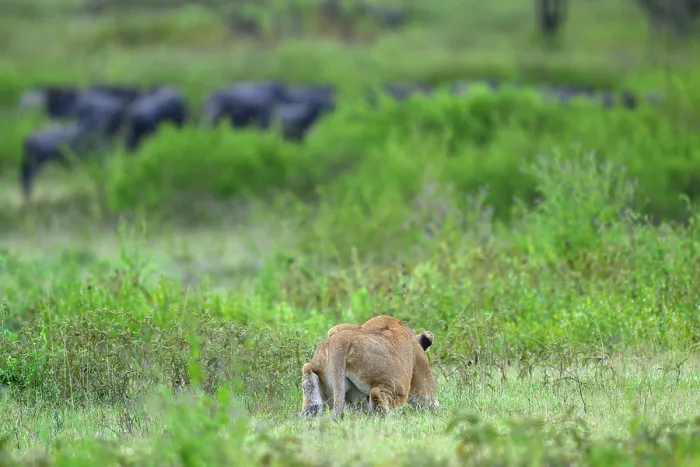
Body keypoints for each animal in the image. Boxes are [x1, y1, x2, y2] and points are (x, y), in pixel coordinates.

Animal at [301, 315, 439, 420]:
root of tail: (340, 340)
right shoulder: (421, 377)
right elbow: (428, 400)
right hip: (399, 384)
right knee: (378, 396)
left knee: (312, 398)